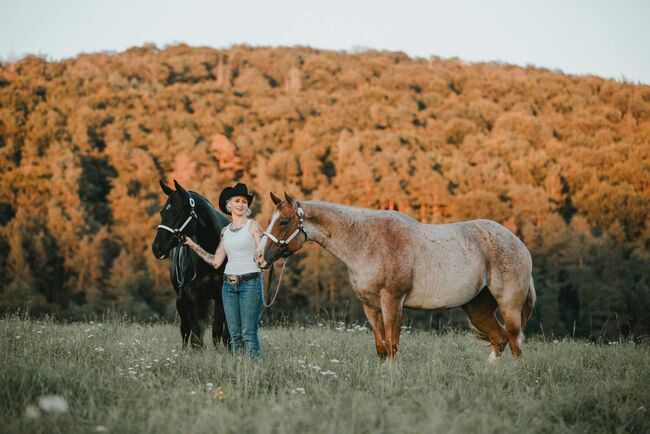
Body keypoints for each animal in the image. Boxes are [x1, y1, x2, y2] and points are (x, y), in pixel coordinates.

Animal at [151, 181, 229, 350]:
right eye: (162, 212)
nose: (157, 247)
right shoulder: (191, 295)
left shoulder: (221, 295)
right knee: (185, 330)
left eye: (177, 212)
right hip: (181, 300)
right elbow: (195, 334)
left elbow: (218, 331)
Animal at [256, 195, 536, 362]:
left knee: (515, 342)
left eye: (284, 221)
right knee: (500, 340)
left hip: (509, 305)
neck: (367, 242)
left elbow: (392, 345)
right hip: (477, 307)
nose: (259, 257)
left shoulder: (392, 301)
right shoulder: (370, 306)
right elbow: (381, 348)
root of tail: (518, 243)